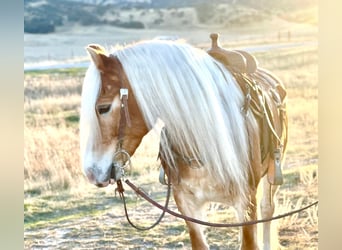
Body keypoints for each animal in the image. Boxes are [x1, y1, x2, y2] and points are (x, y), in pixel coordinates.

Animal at [79, 37, 288, 250]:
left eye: (103, 108)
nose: (91, 173)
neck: (204, 144)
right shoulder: (187, 207)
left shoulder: (245, 203)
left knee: (267, 209)